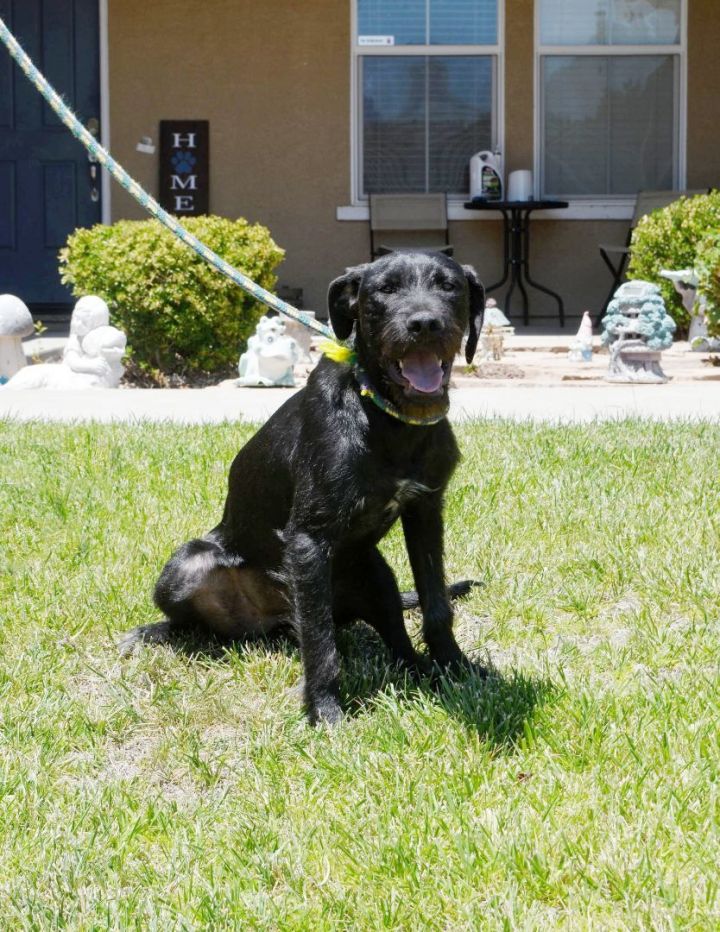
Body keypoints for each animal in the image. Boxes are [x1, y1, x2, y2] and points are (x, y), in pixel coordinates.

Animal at [121, 251, 486, 724]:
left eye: (449, 286)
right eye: (385, 289)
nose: (424, 323)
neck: (385, 416)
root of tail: (269, 624)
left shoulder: (424, 511)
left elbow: (436, 602)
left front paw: (456, 669)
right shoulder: (309, 540)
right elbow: (319, 640)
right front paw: (326, 712)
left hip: (376, 576)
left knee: (394, 636)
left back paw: (420, 670)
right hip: (186, 567)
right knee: (198, 625)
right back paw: (153, 633)